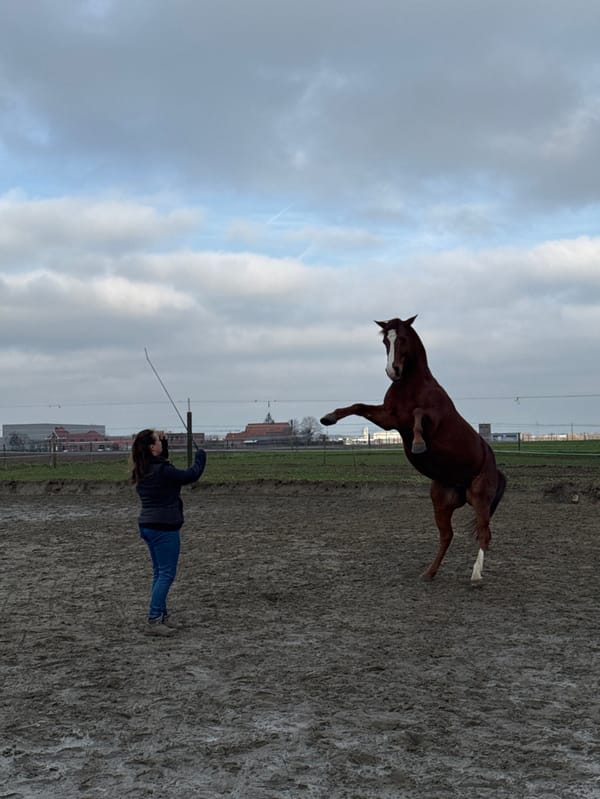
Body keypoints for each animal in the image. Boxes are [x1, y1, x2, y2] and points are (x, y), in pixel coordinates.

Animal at [320, 316, 506, 583]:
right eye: (386, 341)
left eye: (404, 339)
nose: (393, 371)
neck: (410, 386)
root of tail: (494, 466)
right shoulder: (389, 419)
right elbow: (358, 406)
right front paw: (329, 418)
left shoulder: (431, 419)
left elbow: (418, 413)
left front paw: (418, 444)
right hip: (441, 501)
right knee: (447, 536)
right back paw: (429, 572)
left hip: (480, 497)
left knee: (484, 534)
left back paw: (476, 575)